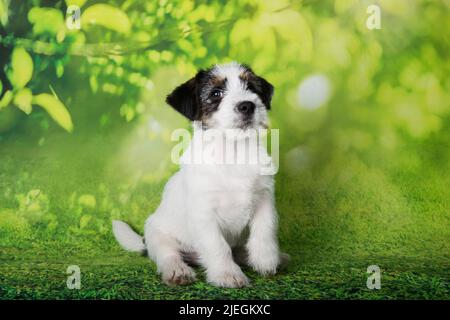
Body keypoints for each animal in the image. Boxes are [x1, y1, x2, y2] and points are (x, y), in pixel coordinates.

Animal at [112, 62, 288, 288]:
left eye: (251, 87)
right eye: (216, 93)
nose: (247, 105)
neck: (233, 153)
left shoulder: (264, 199)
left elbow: (265, 230)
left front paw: (266, 260)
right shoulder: (204, 213)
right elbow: (218, 245)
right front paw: (227, 274)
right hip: (158, 235)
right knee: (169, 255)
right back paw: (178, 271)